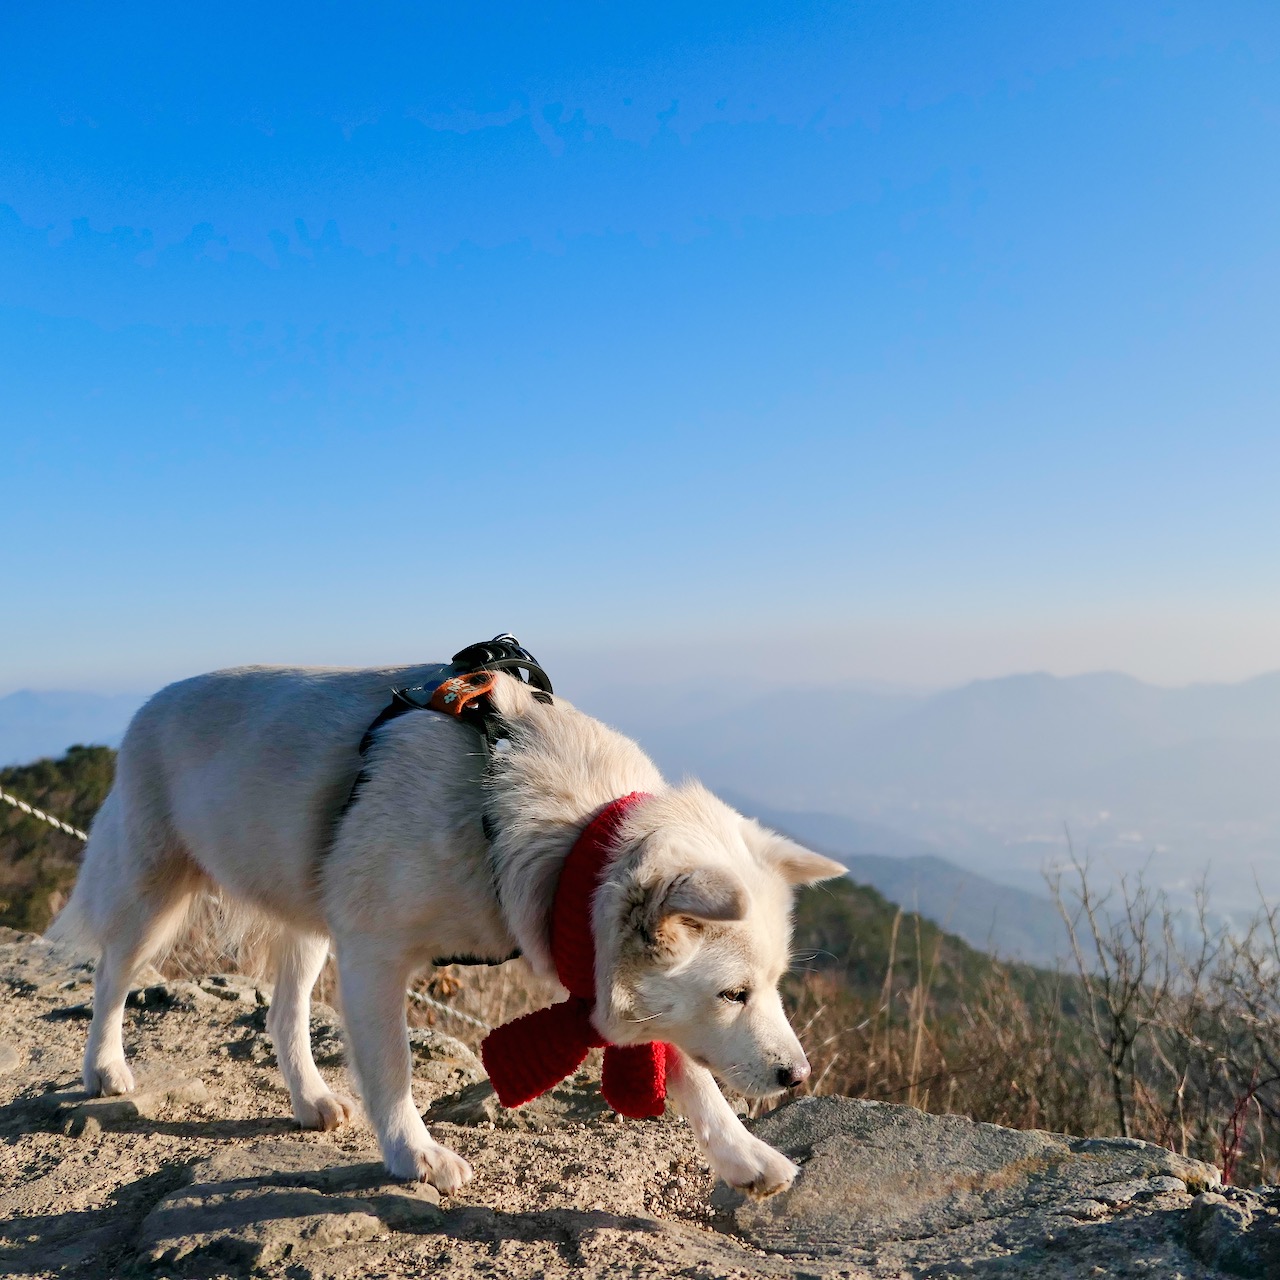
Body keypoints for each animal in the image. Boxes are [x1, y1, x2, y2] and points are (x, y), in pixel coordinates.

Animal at [52, 655, 849, 1192]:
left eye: (771, 987)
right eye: (733, 994)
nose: (799, 1076)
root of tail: (156, 698)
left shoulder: (593, 964)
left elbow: (685, 1068)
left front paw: (746, 1156)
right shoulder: (374, 955)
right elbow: (394, 1065)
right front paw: (414, 1155)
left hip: (310, 917)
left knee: (283, 1016)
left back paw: (310, 1100)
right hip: (153, 895)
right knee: (112, 975)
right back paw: (105, 1067)